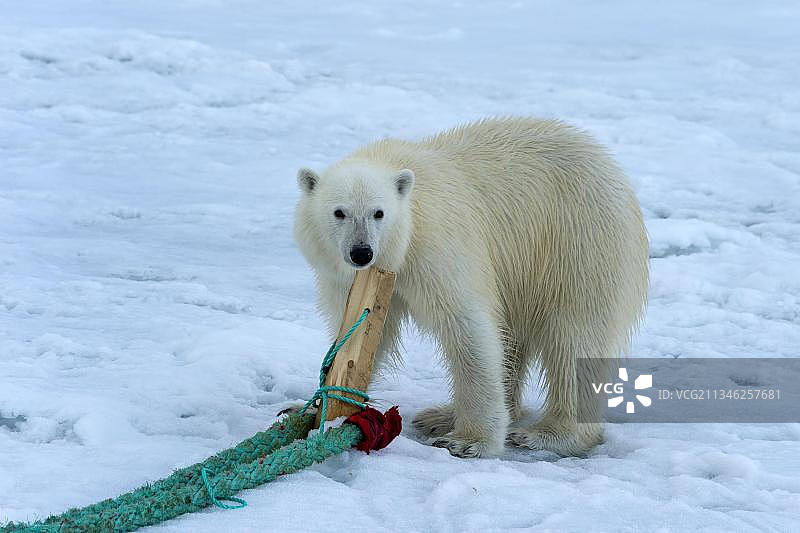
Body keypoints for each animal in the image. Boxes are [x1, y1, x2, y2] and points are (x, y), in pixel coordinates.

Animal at [294, 117, 649, 458]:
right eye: (339, 212)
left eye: (378, 213)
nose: (362, 252)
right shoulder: (352, 278)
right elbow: (364, 333)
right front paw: (316, 407)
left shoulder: (435, 247)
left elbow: (466, 326)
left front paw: (469, 442)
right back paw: (441, 416)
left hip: (578, 244)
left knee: (573, 336)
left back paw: (549, 434)